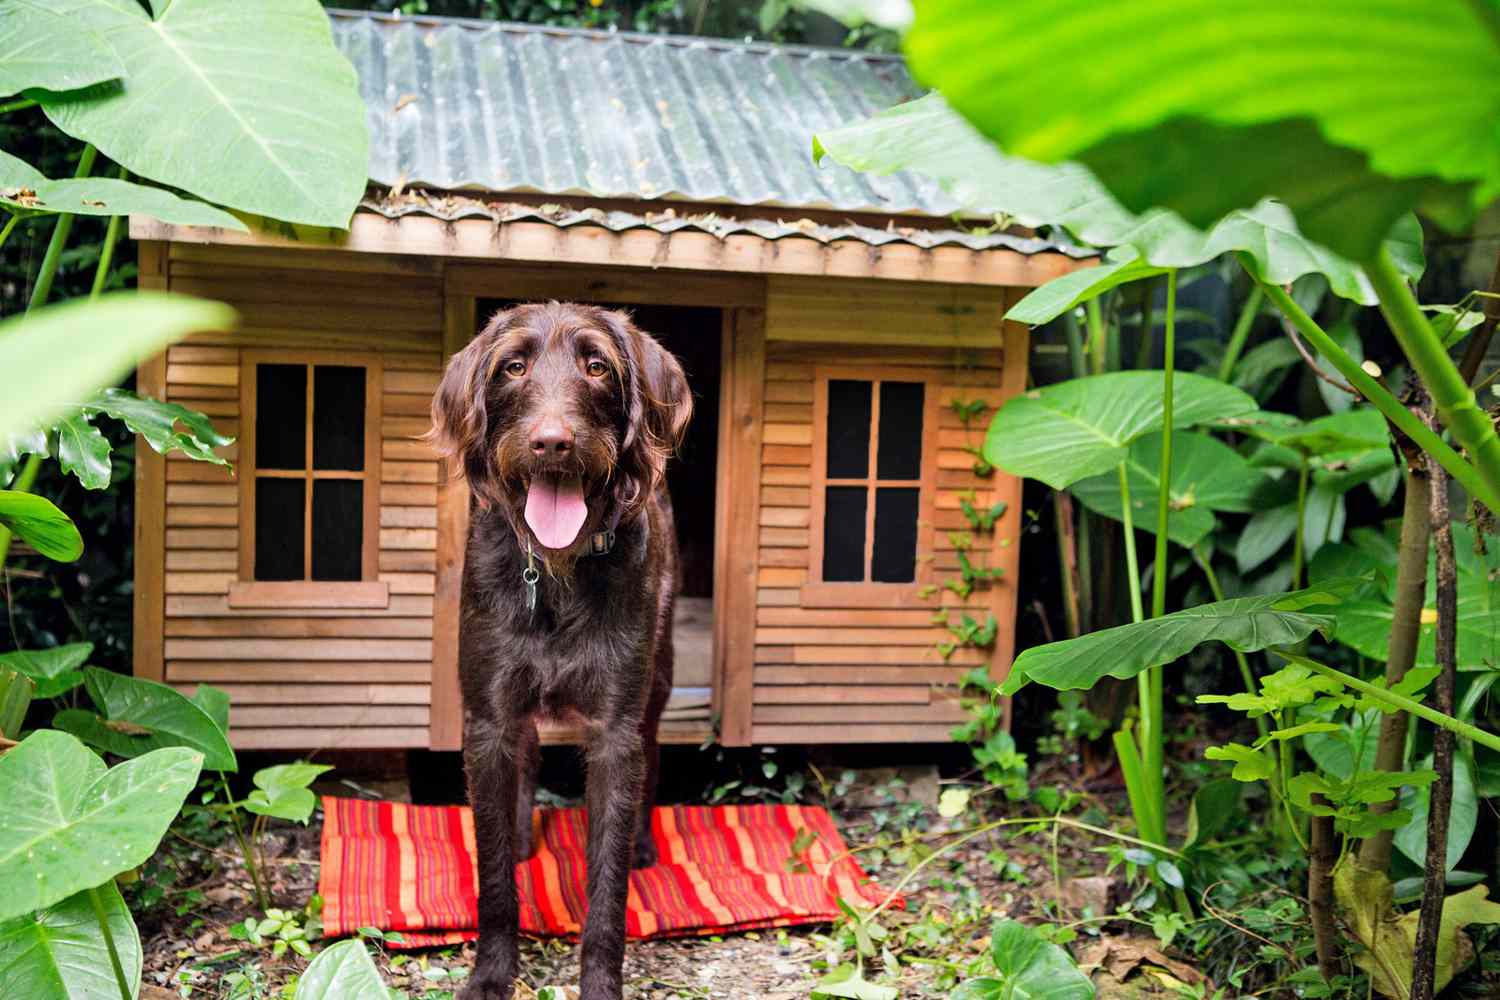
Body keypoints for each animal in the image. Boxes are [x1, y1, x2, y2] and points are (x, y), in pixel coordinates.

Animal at [426, 302, 693, 1000]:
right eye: (513, 367)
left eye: (596, 366)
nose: (552, 442)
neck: (556, 573)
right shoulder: (488, 720)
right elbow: (493, 873)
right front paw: (492, 974)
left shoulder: (615, 732)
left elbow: (607, 886)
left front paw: (600, 983)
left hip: (659, 679)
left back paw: (644, 843)